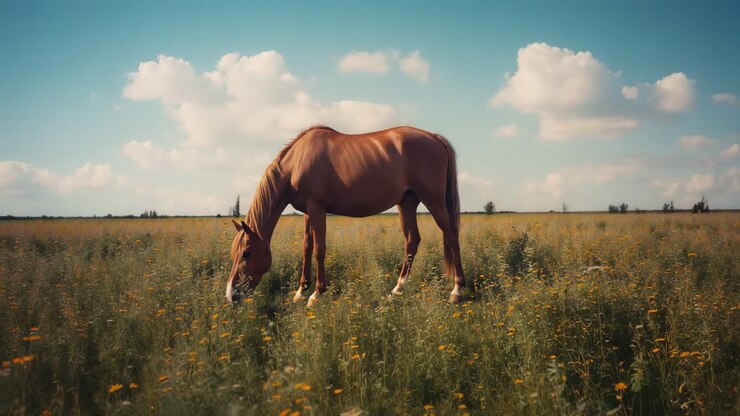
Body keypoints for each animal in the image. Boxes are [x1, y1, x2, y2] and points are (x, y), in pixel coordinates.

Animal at [226, 125, 465, 307]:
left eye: (246, 253)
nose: (231, 295)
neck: (296, 163)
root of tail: (433, 137)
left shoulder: (317, 209)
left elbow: (319, 250)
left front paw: (316, 294)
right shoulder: (307, 213)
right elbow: (306, 248)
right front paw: (300, 291)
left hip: (433, 200)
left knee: (452, 236)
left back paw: (456, 290)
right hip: (406, 203)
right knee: (412, 242)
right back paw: (397, 290)